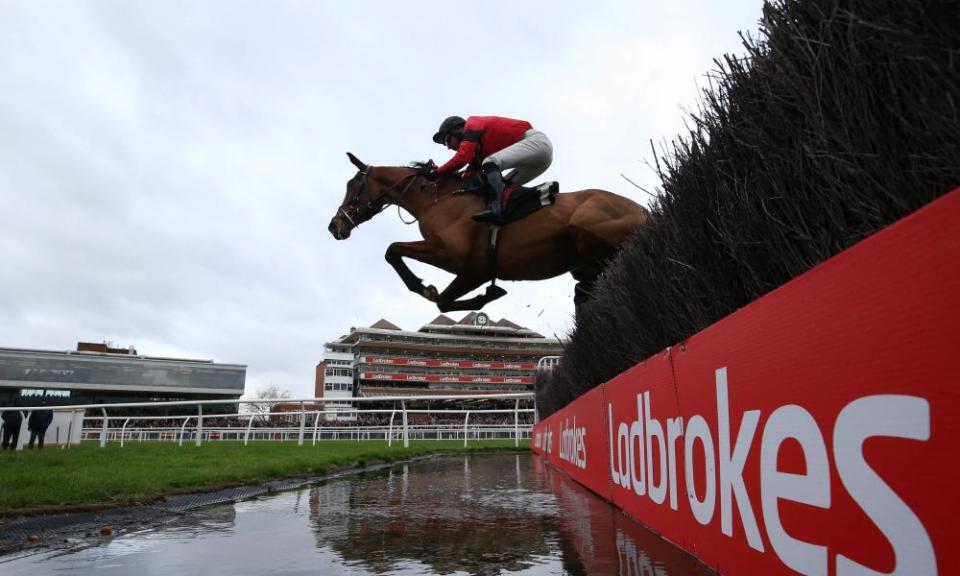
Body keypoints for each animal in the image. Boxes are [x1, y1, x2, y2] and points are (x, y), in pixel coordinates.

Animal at [326, 152, 648, 310]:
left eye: (353, 186)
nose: (334, 225)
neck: (439, 198)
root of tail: (644, 208)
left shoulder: (454, 256)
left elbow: (392, 250)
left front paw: (421, 286)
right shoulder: (474, 273)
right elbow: (443, 303)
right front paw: (489, 295)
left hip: (584, 226)